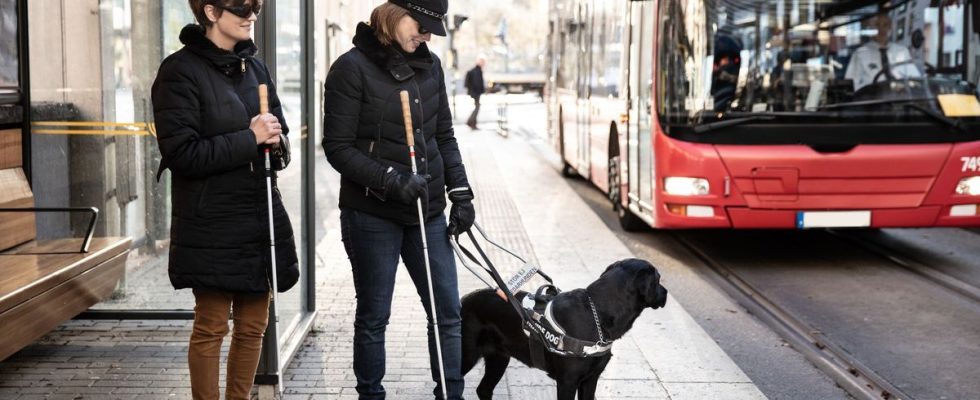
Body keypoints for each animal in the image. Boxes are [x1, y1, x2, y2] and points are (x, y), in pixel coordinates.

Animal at [460, 258, 668, 398]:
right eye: (658, 279)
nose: (666, 292)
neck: (597, 312)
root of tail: (463, 300)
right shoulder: (567, 382)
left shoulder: (590, 379)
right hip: (466, 356)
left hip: (499, 358)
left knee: (483, 389)